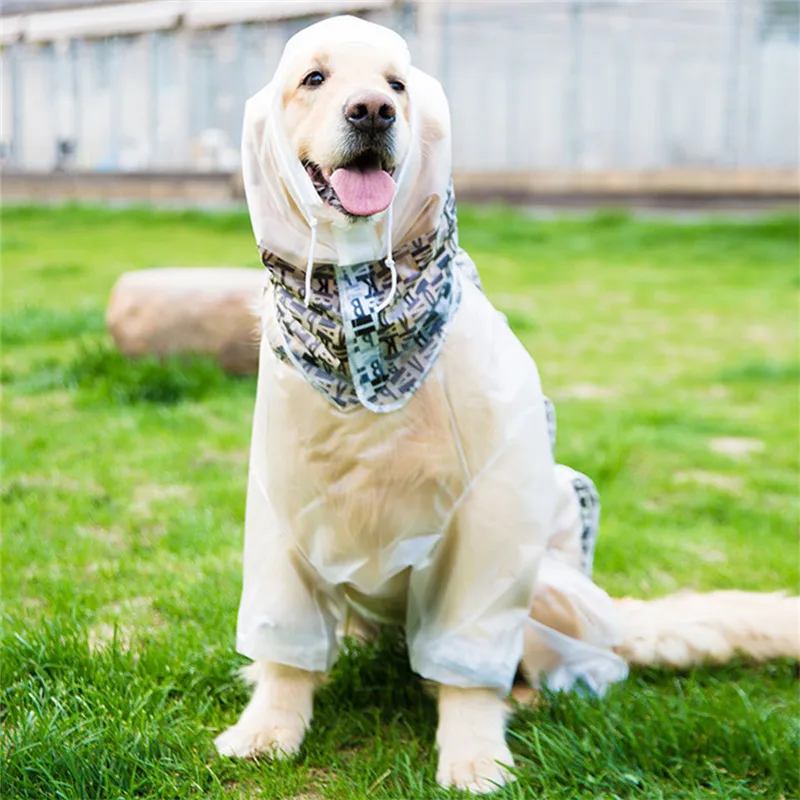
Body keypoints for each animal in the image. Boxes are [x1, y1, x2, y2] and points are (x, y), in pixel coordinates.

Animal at [216, 15, 796, 792]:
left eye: (398, 84)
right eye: (314, 78)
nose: (373, 111)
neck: (364, 317)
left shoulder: (486, 531)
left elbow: (468, 674)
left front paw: (474, 756)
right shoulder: (284, 512)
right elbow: (285, 653)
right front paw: (266, 730)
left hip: (551, 587)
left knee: (573, 667)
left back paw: (522, 695)